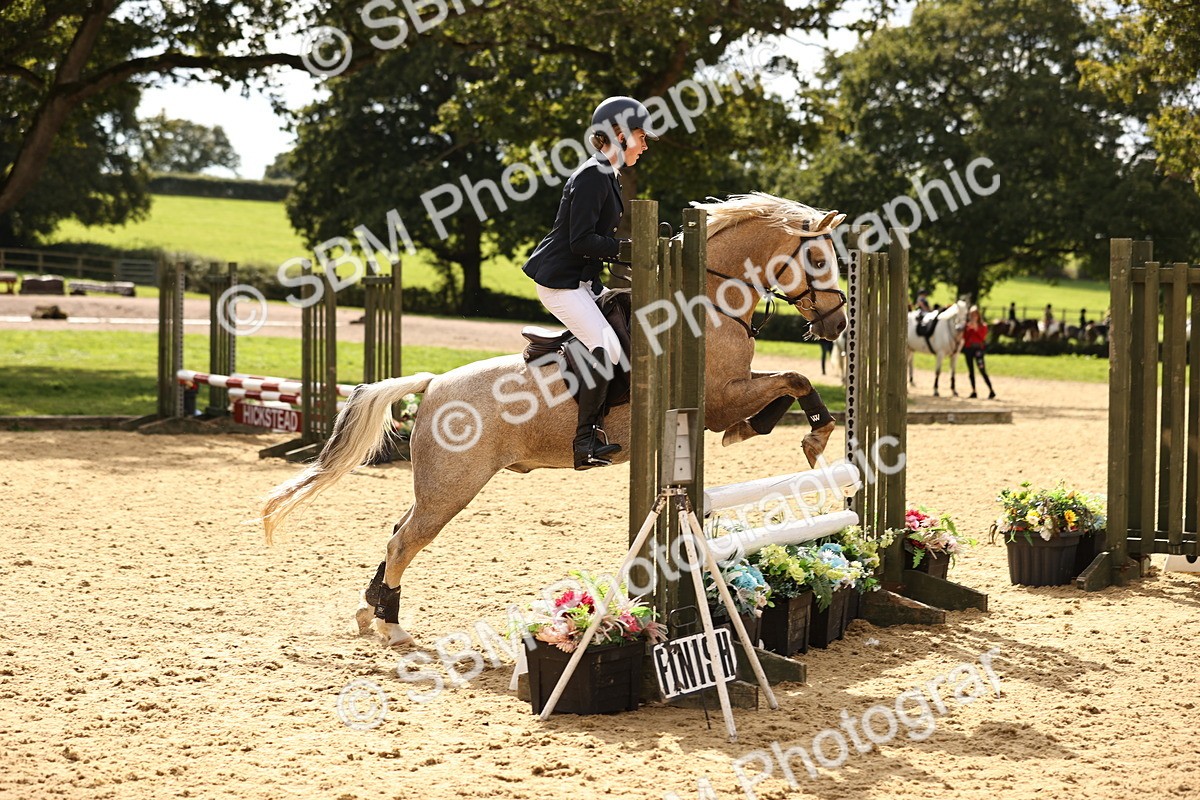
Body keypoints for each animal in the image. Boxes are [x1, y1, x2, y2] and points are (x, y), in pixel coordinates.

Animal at [261, 193, 849, 646]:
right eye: (820, 260)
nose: (839, 322)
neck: (707, 303)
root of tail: (433, 386)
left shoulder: (727, 394)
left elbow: (789, 381)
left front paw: (784, 431)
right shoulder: (719, 398)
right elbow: (793, 381)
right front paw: (805, 436)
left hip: (438, 485)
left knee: (397, 531)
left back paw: (372, 610)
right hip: (453, 485)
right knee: (404, 541)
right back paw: (392, 627)